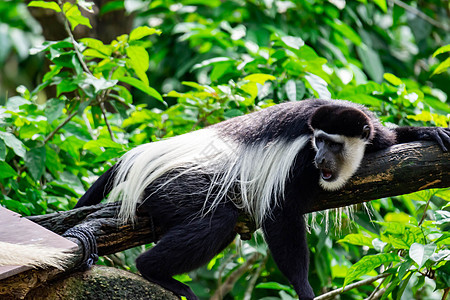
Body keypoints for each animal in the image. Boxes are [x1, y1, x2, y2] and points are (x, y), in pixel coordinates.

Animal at [71, 99, 446, 300]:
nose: (321, 159)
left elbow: (392, 137)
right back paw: (152, 270)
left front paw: (427, 131)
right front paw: (304, 289)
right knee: (218, 217)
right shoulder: (298, 161)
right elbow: (280, 216)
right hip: (175, 184)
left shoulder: (372, 134)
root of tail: (141, 156)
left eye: (333, 144)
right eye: (319, 141)